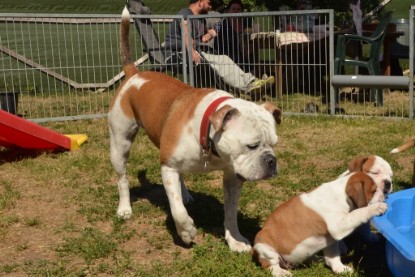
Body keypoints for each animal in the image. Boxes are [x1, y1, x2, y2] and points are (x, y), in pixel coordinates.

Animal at [109, 7, 282, 252]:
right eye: (252, 145)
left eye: (274, 145)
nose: (271, 161)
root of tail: (134, 74)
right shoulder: (168, 167)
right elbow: (177, 210)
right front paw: (186, 232)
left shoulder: (232, 177)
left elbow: (230, 213)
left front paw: (235, 239)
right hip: (120, 144)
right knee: (122, 178)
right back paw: (124, 208)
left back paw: (186, 194)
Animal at [252, 171, 392, 274]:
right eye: (374, 190)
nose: (384, 193)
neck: (342, 194)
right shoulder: (338, 226)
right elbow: (358, 213)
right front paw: (377, 208)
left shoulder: (330, 240)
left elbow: (333, 257)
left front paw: (340, 269)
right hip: (265, 246)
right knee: (271, 266)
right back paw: (281, 272)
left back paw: (319, 259)